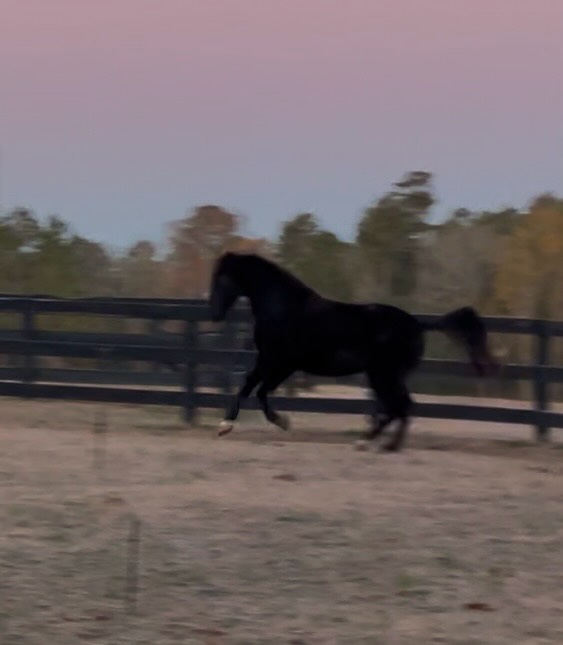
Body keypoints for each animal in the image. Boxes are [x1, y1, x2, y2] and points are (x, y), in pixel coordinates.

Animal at [209, 252, 497, 452]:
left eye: (222, 279)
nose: (215, 314)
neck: (282, 308)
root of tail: (416, 324)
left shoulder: (278, 361)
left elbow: (256, 390)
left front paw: (264, 424)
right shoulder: (275, 362)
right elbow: (253, 389)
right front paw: (241, 425)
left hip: (383, 374)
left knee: (399, 405)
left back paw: (370, 443)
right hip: (384, 375)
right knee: (400, 406)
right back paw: (384, 444)